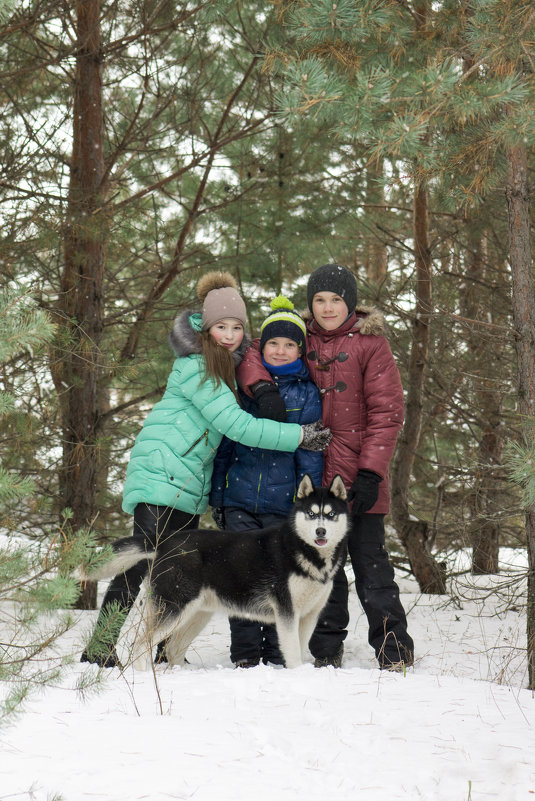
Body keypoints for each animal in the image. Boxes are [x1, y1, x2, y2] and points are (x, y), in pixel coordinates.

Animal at [86, 476, 350, 668]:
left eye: (331, 514)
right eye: (312, 514)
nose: (320, 531)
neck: (306, 551)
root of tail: (165, 541)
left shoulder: (309, 615)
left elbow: (301, 648)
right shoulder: (286, 613)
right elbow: (293, 653)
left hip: (196, 614)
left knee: (172, 648)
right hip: (175, 608)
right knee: (142, 644)